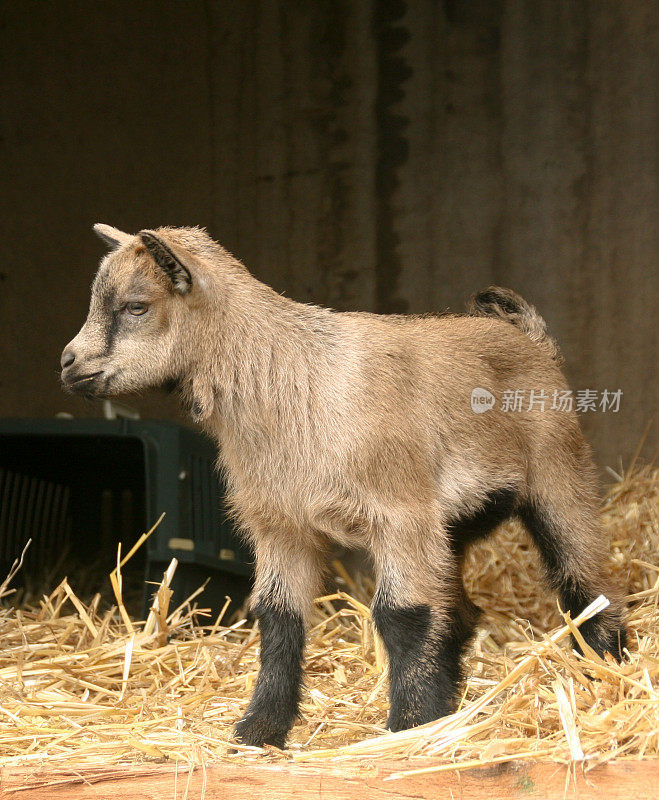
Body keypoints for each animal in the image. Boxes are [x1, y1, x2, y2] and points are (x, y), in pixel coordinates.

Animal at [62, 225, 628, 752]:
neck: (289, 377)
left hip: (559, 477)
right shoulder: (281, 525)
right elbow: (279, 618)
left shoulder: (399, 515)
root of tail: (530, 339)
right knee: (459, 612)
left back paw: (607, 672)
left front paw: (408, 725)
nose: (67, 364)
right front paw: (259, 729)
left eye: (136, 306)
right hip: (451, 527)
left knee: (588, 583)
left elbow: (401, 615)